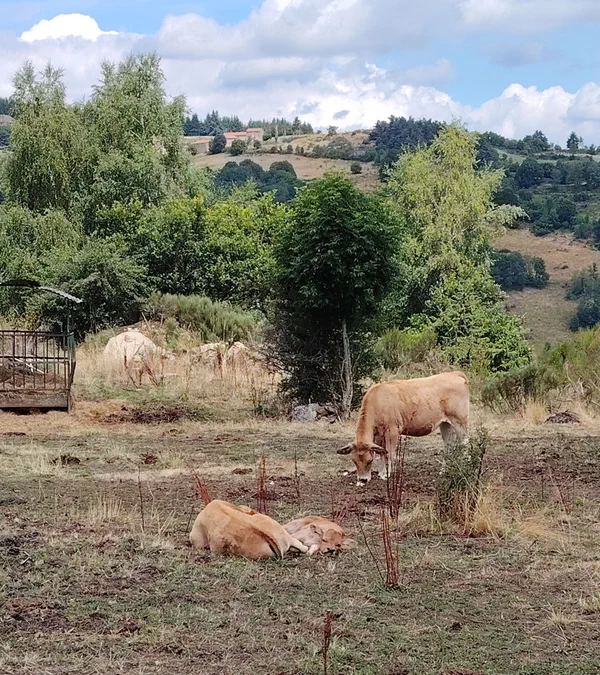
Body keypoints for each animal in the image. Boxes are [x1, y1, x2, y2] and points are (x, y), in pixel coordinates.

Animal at [337, 371, 469, 486]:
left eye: (369, 461)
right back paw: (444, 470)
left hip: (460, 421)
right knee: (449, 446)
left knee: (465, 442)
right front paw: (381, 473)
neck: (378, 402)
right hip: (445, 424)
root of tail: (454, 374)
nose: (363, 480)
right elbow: (381, 452)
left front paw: (387, 475)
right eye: (354, 461)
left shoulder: (393, 431)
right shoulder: (378, 435)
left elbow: (389, 453)